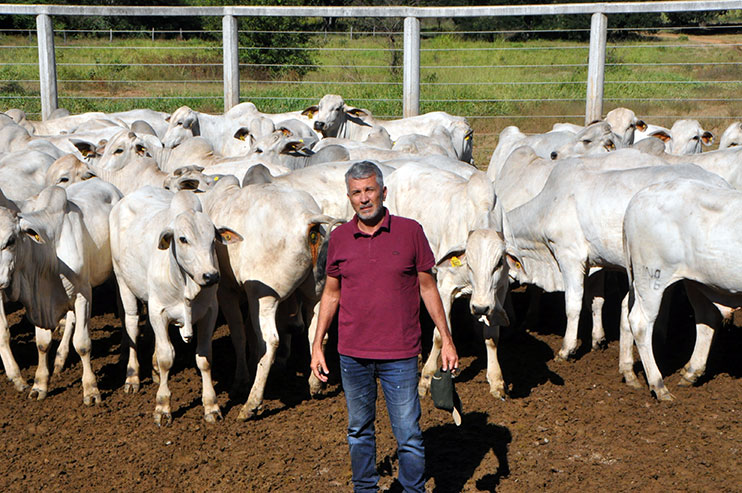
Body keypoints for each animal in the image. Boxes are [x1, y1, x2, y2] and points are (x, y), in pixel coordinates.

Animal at [109, 186, 243, 424]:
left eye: (213, 239)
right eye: (183, 239)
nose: (210, 276)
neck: (185, 282)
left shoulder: (209, 312)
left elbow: (205, 358)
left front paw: (211, 406)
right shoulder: (159, 311)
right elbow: (166, 358)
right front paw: (162, 407)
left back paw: (153, 371)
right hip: (122, 280)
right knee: (132, 324)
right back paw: (132, 378)